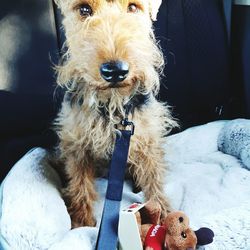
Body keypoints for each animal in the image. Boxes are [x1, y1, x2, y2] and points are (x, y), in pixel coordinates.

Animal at [53, 0, 177, 228]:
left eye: (133, 7)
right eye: (84, 9)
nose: (115, 70)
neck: (113, 104)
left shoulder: (147, 139)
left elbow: (153, 179)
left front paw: (164, 216)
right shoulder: (77, 145)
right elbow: (80, 185)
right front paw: (82, 222)